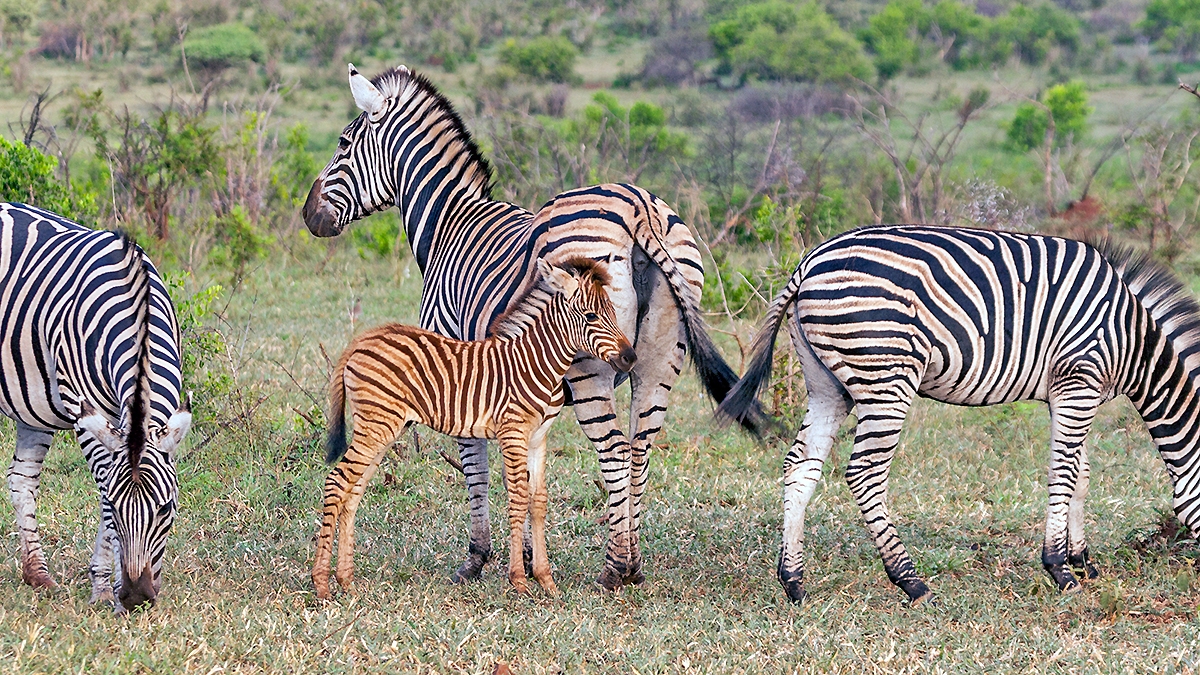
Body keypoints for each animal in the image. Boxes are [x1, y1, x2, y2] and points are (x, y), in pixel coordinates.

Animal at [0, 203, 191, 612]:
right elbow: (104, 485)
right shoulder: (82, 406)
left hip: (34, 406)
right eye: (115, 511)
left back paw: (37, 574)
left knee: (21, 479)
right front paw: (105, 588)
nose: (137, 597)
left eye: (166, 509)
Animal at [314, 258, 635, 598]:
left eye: (614, 313)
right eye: (591, 316)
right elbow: (518, 498)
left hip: (385, 428)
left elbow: (537, 501)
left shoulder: (538, 437)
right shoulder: (513, 432)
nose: (630, 357)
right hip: (376, 425)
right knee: (337, 481)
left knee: (353, 490)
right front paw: (519, 581)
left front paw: (547, 581)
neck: (537, 362)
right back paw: (321, 584)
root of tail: (360, 340)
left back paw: (346, 580)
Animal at [718, 224, 1200, 604]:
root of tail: (808, 262)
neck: (1133, 340)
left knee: (800, 466)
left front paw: (1083, 561)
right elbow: (1064, 475)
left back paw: (794, 582)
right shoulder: (1078, 379)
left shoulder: (1068, 392)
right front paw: (1061, 570)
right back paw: (911, 582)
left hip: (826, 382)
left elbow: (1080, 475)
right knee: (865, 474)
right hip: (885, 374)